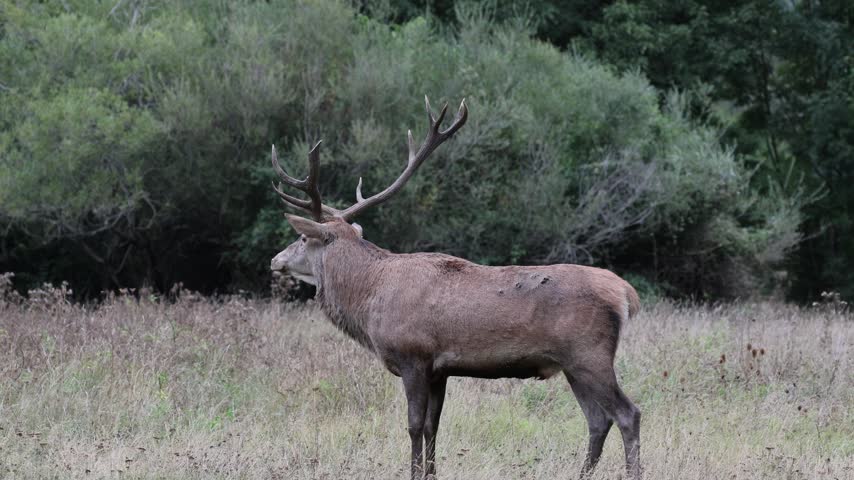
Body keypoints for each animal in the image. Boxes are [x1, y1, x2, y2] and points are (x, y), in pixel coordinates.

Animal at [269, 97, 642, 480]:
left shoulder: (413, 356)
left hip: (589, 353)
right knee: (598, 420)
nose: (275, 259)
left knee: (628, 414)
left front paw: (414, 472)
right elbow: (432, 426)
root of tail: (626, 293)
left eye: (302, 238)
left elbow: (413, 426)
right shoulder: (439, 369)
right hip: (571, 363)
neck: (369, 298)